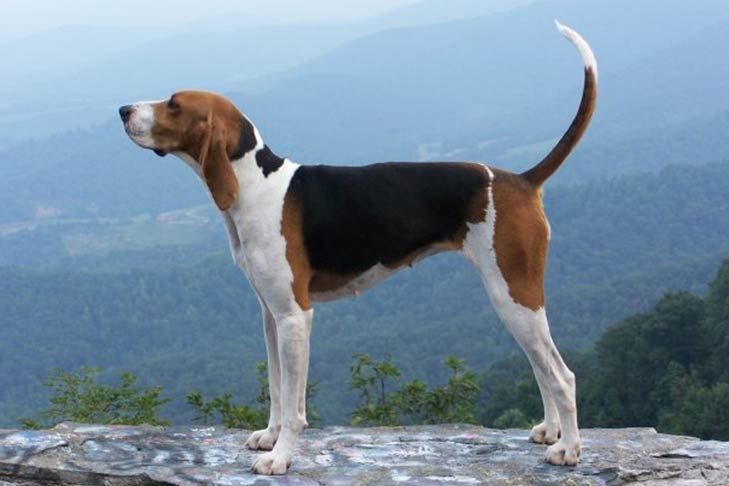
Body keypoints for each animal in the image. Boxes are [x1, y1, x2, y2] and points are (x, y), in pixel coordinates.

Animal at [119, 22, 596, 474]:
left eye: (174, 104)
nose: (123, 109)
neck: (256, 184)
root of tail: (522, 179)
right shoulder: (270, 316)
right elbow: (276, 389)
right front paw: (269, 437)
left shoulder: (295, 317)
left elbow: (294, 405)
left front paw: (280, 457)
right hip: (515, 300)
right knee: (541, 366)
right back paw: (550, 430)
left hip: (514, 295)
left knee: (563, 375)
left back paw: (568, 449)